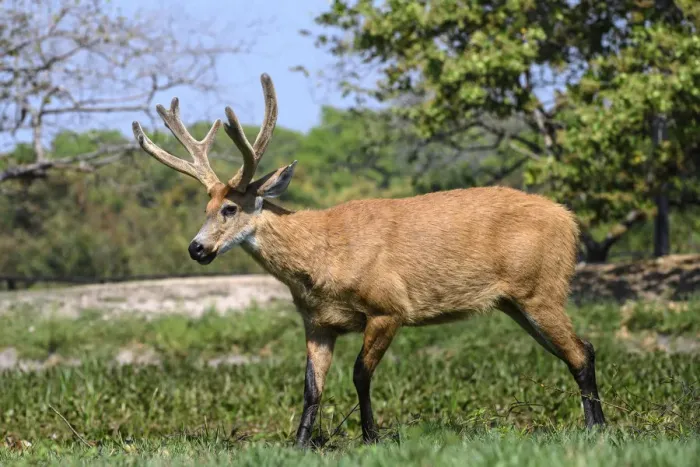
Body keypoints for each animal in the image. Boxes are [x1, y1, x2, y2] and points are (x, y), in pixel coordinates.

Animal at [132, 73, 606, 448]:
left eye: (230, 209)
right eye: (205, 207)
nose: (196, 249)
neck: (320, 258)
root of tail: (570, 220)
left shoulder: (388, 306)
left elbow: (361, 374)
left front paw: (372, 436)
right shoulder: (317, 323)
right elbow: (311, 388)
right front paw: (300, 445)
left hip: (541, 288)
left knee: (581, 353)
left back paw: (596, 429)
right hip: (517, 302)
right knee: (580, 350)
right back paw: (595, 424)